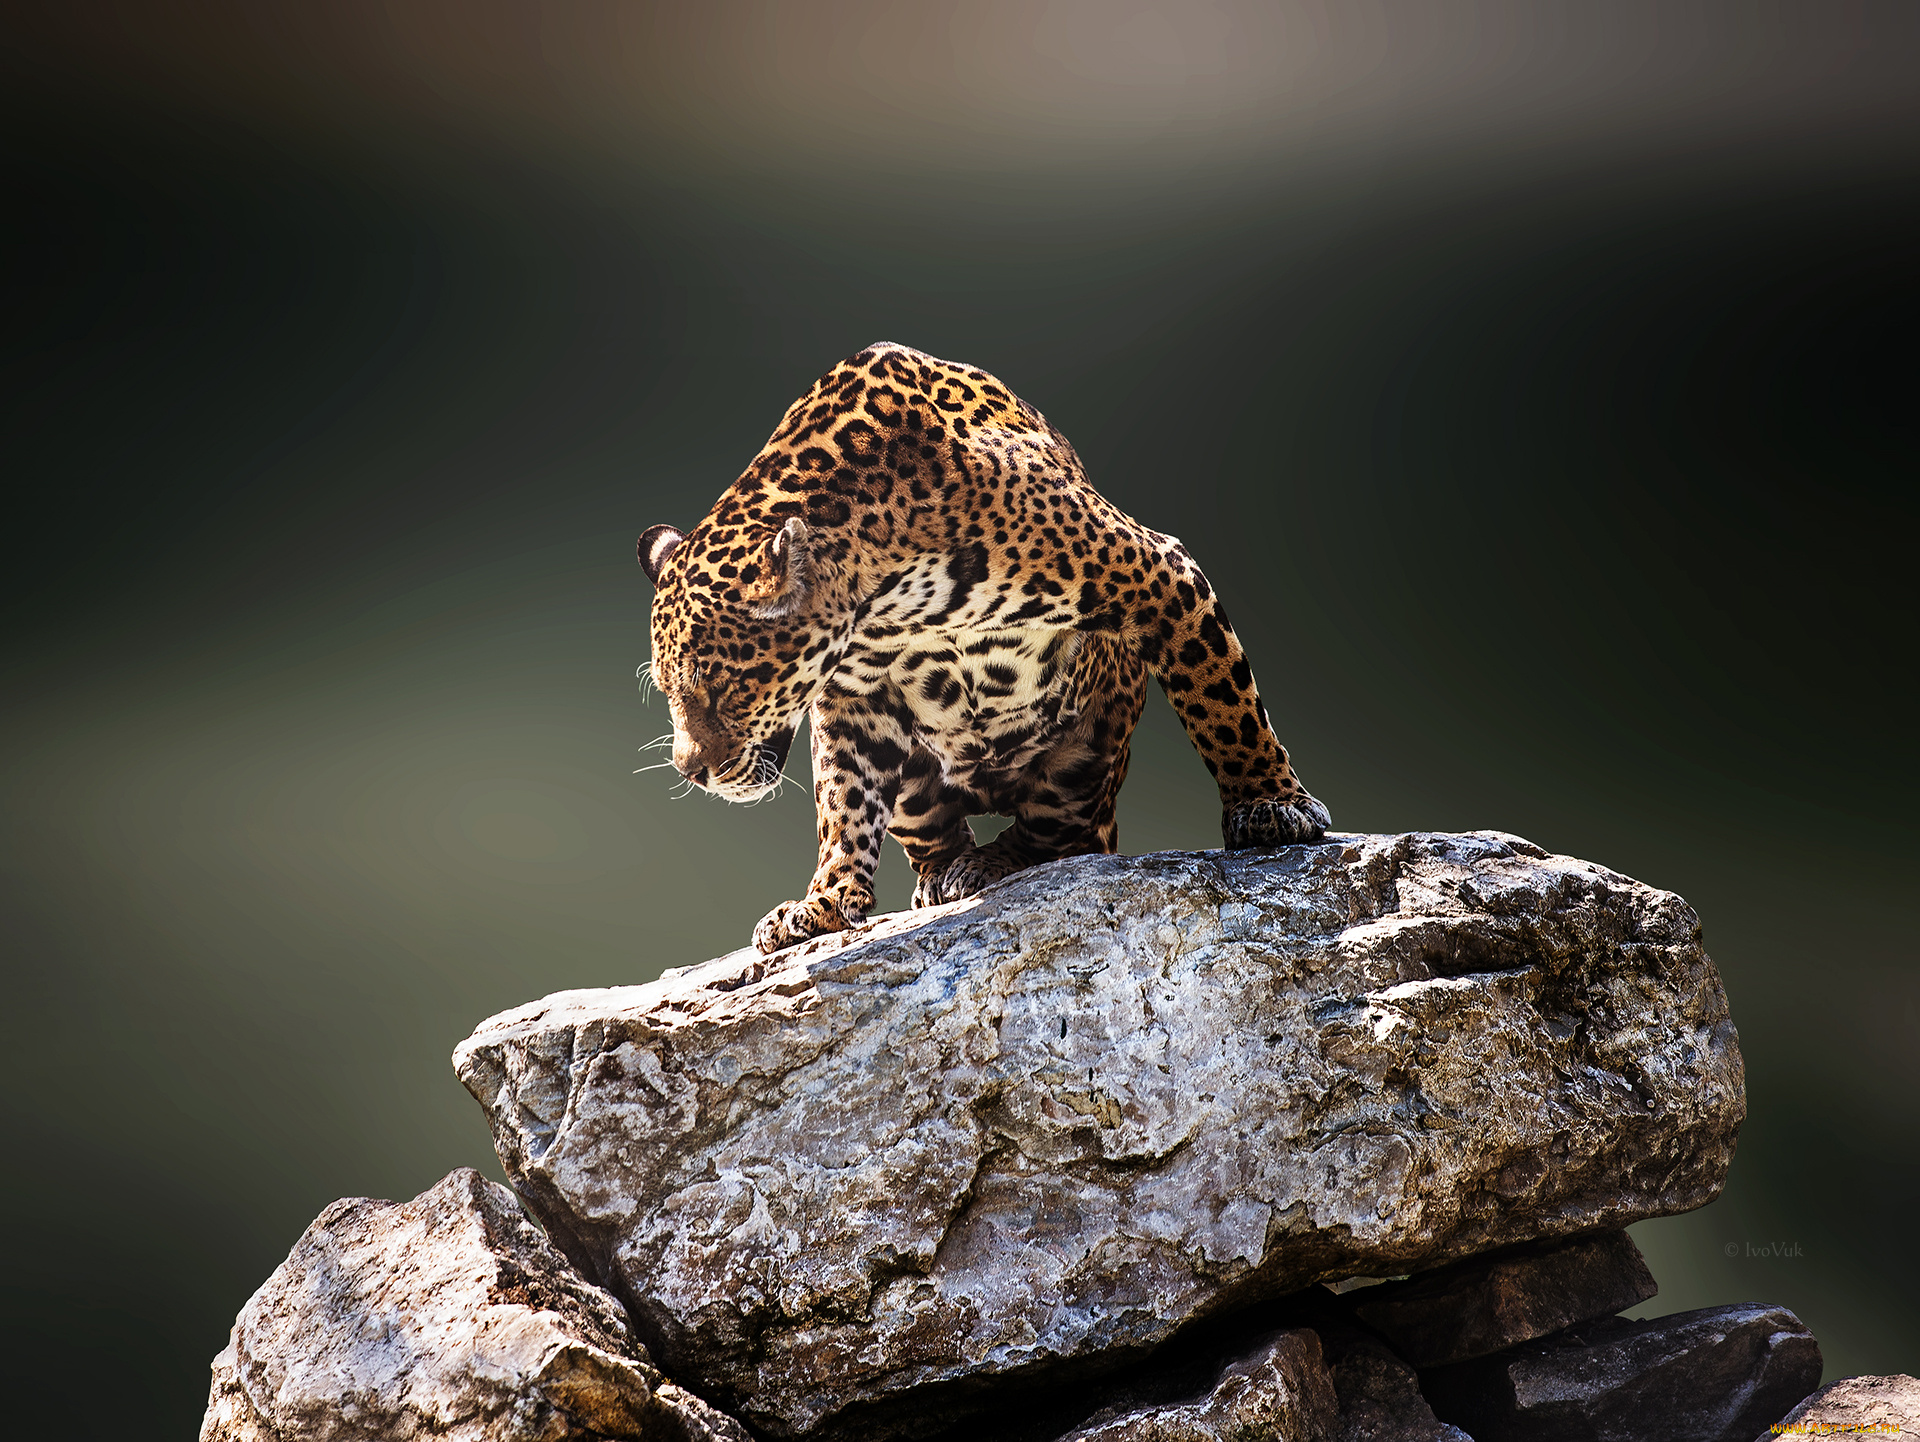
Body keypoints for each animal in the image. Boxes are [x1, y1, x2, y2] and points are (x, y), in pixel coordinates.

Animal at [638, 342, 1329, 954]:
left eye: (722, 689)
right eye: (670, 692)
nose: (691, 771)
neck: (885, 594)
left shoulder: (1159, 574)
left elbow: (1223, 702)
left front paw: (1270, 806)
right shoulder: (850, 702)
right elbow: (843, 805)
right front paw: (823, 902)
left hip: (1091, 754)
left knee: (1056, 834)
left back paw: (990, 864)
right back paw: (945, 874)